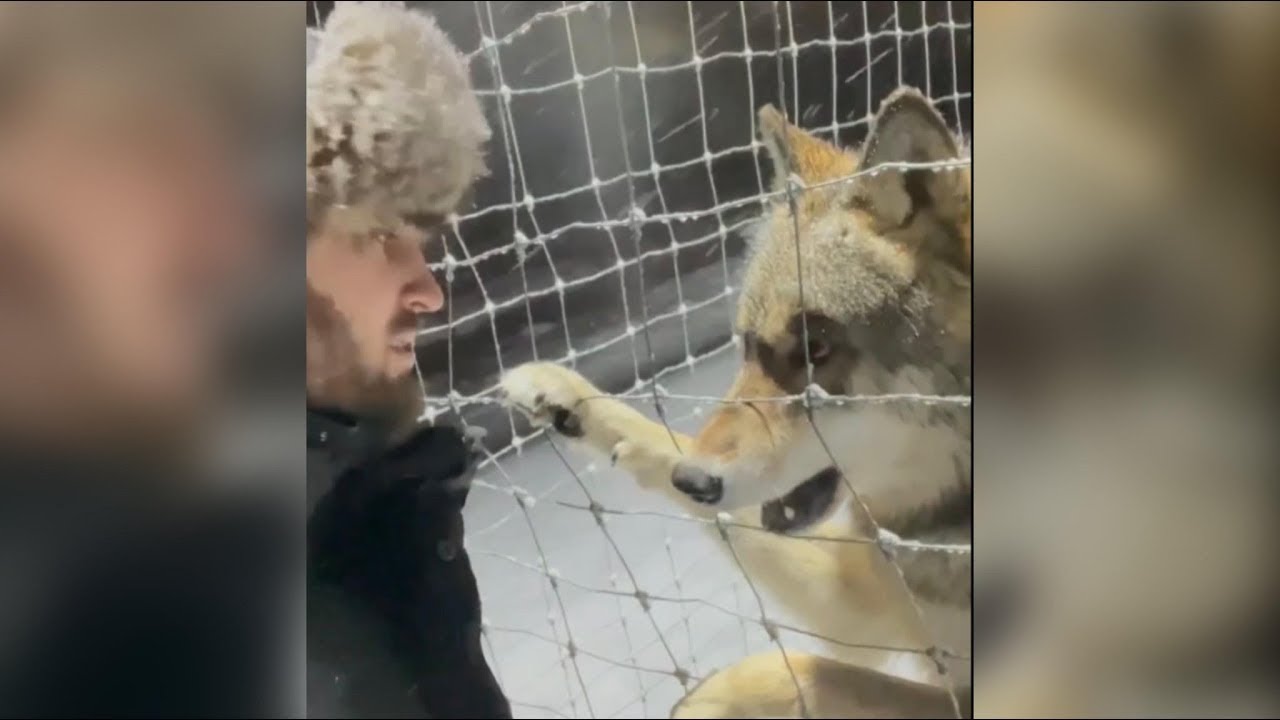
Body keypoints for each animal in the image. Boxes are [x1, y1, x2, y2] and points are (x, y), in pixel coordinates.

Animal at [502, 86, 971, 718]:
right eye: (746, 344)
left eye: (815, 349)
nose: (693, 480)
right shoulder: (864, 596)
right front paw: (563, 397)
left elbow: (805, 668)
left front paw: (710, 696)